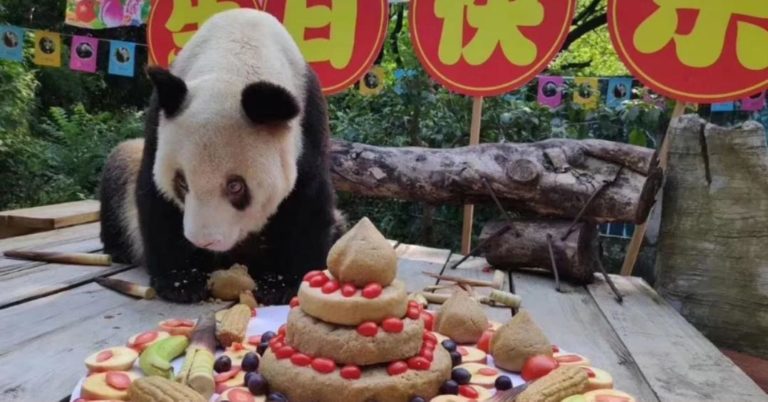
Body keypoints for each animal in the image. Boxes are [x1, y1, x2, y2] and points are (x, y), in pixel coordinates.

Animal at [99, 8, 344, 304]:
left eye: (235, 186)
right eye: (182, 183)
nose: (203, 242)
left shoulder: (308, 118)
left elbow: (307, 198)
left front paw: (282, 283)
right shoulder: (159, 117)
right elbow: (154, 194)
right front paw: (181, 281)